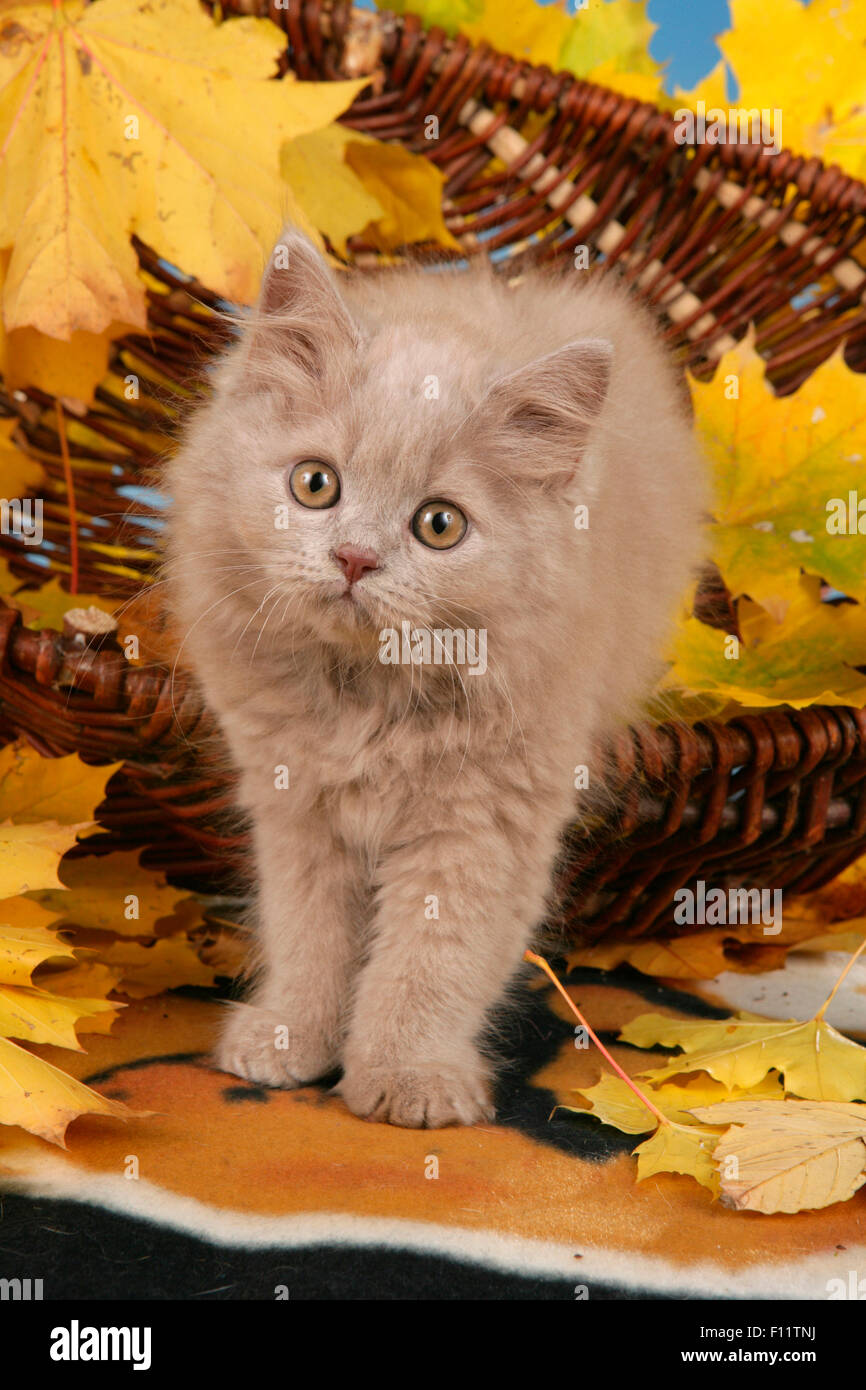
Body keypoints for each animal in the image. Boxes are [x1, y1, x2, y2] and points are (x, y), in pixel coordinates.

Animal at [162, 230, 706, 1128]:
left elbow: (432, 959)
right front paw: (289, 1037)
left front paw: (407, 1076)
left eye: (439, 525)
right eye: (315, 483)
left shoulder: (484, 825)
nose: (354, 558)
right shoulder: (295, 805)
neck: (367, 695)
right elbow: (308, 934)